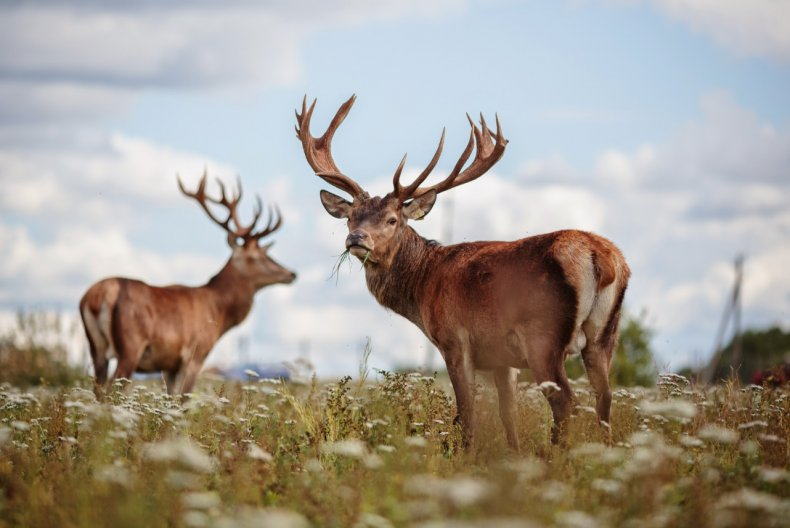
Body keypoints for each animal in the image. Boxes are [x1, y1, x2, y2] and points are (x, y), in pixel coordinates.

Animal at [79, 174, 296, 396]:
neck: (218, 313)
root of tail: (97, 296)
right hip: (130, 346)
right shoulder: (195, 354)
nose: (291, 274)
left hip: (96, 349)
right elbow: (183, 398)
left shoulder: (169, 365)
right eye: (257, 256)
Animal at [296, 95, 632, 450]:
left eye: (392, 219)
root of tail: (600, 256)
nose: (356, 239)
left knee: (566, 401)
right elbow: (507, 413)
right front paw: (516, 455)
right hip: (605, 335)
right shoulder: (502, 358)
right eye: (350, 217)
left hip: (543, 336)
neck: (425, 284)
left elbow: (466, 415)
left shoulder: (455, 340)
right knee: (604, 398)